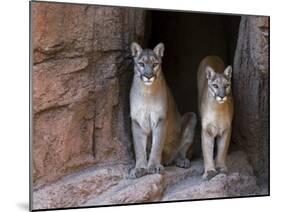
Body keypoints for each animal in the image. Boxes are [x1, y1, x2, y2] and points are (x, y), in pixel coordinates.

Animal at [128, 42, 196, 179]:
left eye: (154, 64)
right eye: (141, 64)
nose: (148, 76)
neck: (147, 92)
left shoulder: (160, 119)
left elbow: (157, 145)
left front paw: (154, 166)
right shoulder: (137, 120)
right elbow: (139, 148)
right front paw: (139, 168)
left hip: (192, 116)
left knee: (182, 151)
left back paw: (182, 161)